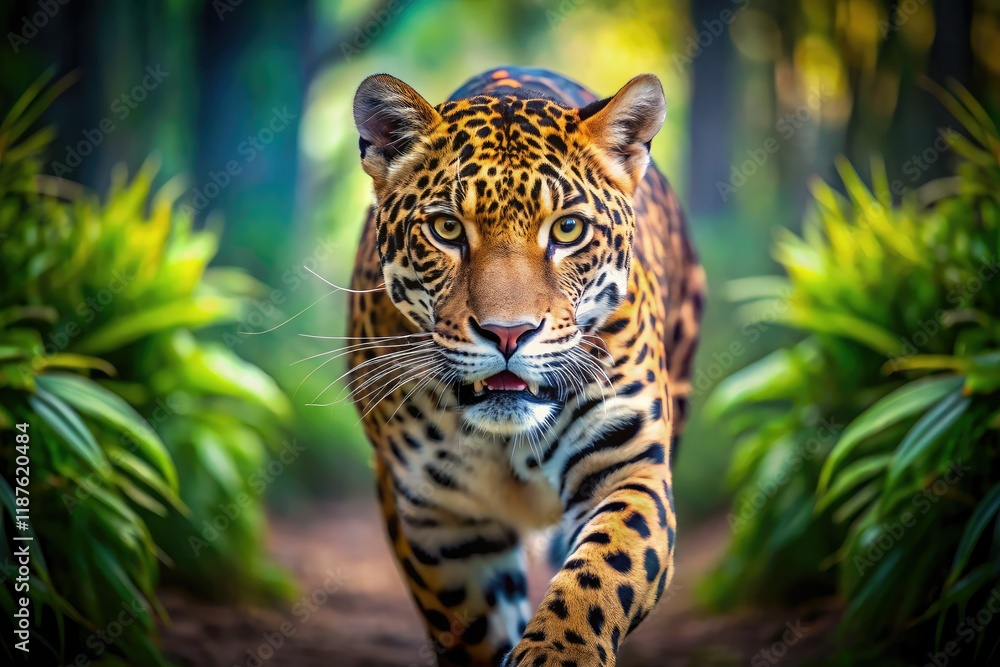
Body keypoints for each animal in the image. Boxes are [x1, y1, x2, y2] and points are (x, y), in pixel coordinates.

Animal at [345, 66, 705, 667]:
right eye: (446, 229)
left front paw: (559, 650)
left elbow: (603, 574)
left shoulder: (628, 465)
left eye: (567, 230)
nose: (508, 333)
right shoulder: (437, 516)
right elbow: (470, 628)